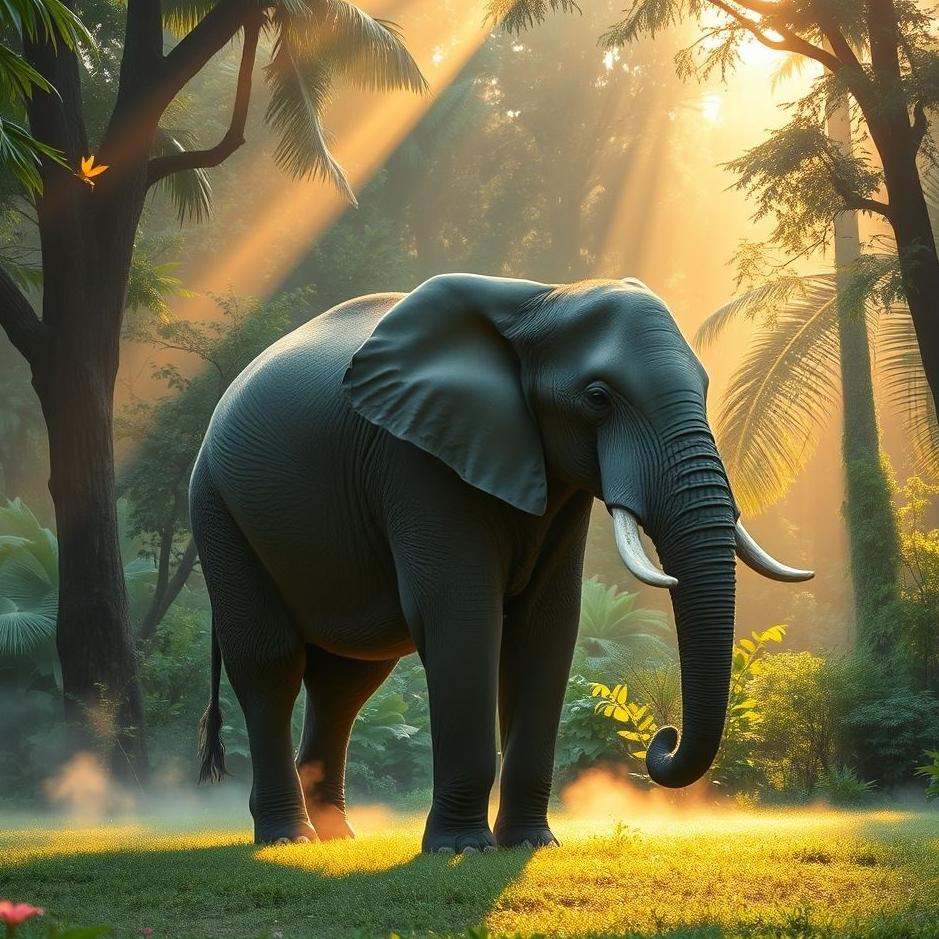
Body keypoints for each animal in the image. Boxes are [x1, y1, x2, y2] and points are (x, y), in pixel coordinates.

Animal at [190, 273, 813, 852]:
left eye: (704, 389)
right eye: (598, 397)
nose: (663, 737)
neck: (541, 299)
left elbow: (547, 628)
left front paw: (531, 844)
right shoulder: (417, 459)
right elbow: (462, 617)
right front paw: (461, 849)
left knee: (346, 681)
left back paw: (336, 836)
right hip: (216, 506)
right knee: (270, 662)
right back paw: (288, 838)